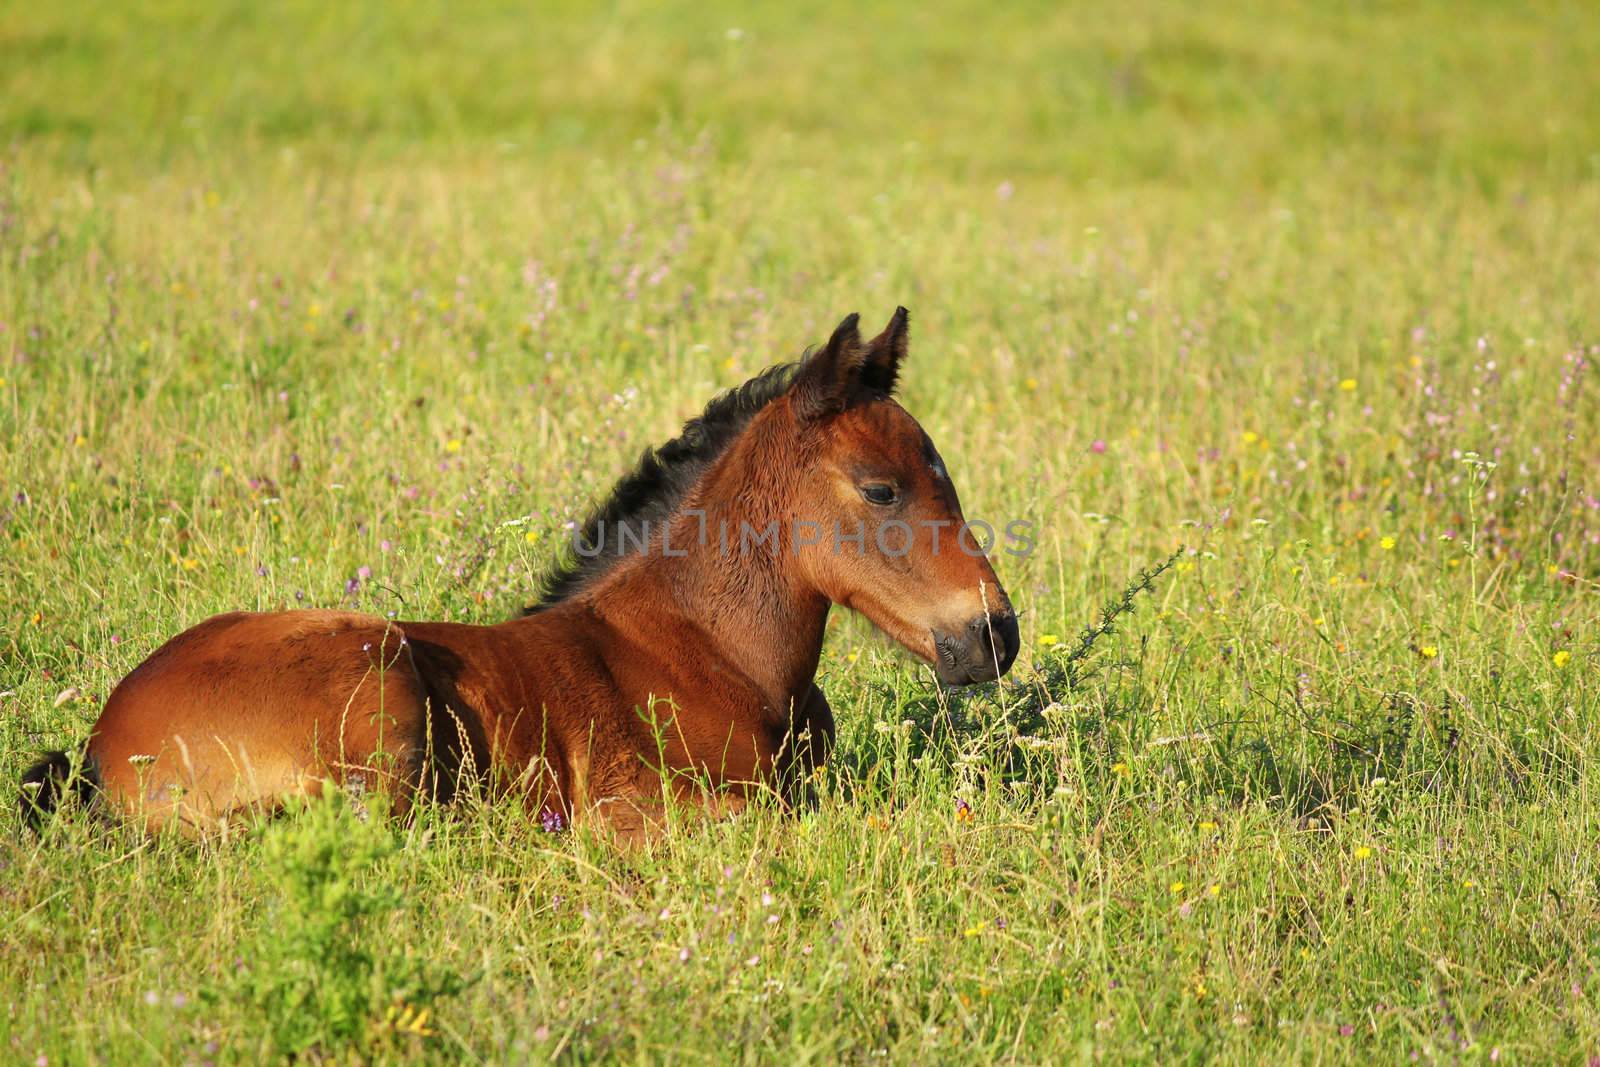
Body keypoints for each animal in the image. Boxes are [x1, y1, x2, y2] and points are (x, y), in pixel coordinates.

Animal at [18, 308, 1017, 844]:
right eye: (881, 488)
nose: (994, 633)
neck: (709, 649)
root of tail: (101, 745)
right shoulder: (642, 810)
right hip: (376, 679)